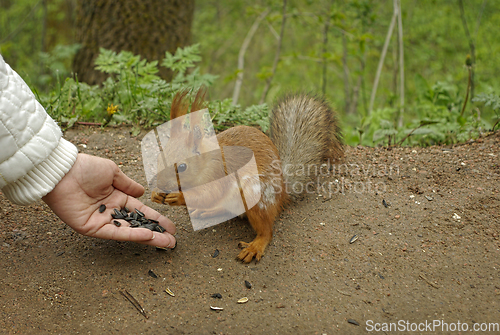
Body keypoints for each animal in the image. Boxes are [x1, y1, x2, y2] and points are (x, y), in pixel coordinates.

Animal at [150, 90, 342, 264]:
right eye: (158, 157)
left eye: (182, 167)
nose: (161, 183)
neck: (206, 162)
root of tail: (282, 193)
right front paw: (156, 193)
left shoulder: (219, 173)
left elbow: (208, 195)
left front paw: (178, 197)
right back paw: (209, 211)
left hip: (257, 198)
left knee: (267, 231)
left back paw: (255, 246)